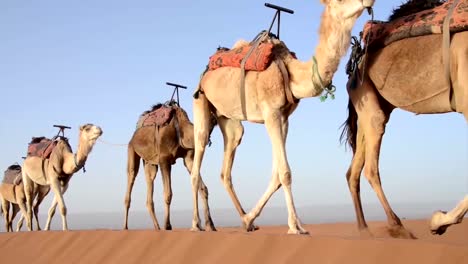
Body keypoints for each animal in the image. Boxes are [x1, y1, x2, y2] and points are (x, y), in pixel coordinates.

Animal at [122, 102, 216, 230]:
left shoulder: (189, 158)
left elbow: (203, 188)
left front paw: (210, 225)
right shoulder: (164, 159)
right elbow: (168, 193)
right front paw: (167, 225)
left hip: (150, 162)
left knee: (150, 179)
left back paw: (157, 227)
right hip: (132, 149)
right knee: (131, 175)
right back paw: (125, 227)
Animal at [188, 0, 374, 234]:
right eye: (339, 1)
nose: (368, 1)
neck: (290, 72)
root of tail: (206, 71)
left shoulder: (284, 118)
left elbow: (276, 175)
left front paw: (255, 218)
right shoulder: (271, 114)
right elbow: (285, 173)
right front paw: (295, 227)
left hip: (228, 120)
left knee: (227, 165)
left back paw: (245, 220)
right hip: (201, 102)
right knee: (198, 157)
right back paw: (196, 224)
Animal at [340, 0, 468, 238]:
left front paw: (439, 221)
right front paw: (438, 221)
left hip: (369, 106)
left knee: (353, 171)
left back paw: (364, 231)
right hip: (366, 96)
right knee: (370, 168)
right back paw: (396, 225)